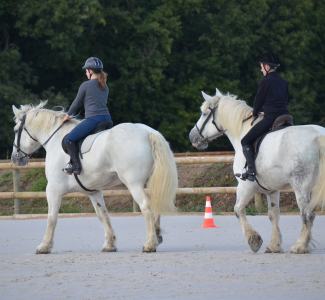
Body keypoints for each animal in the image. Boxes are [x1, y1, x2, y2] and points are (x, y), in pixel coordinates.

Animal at [11, 102, 177, 254]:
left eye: (15, 130)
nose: (15, 158)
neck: (55, 139)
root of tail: (147, 132)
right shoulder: (93, 191)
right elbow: (102, 215)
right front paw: (109, 244)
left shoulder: (53, 189)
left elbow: (52, 217)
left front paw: (44, 246)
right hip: (149, 183)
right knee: (155, 204)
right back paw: (157, 236)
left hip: (134, 184)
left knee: (146, 206)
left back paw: (150, 244)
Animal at [189, 88, 324, 253]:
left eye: (203, 113)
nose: (192, 137)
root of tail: (318, 136)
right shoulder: (272, 189)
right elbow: (273, 215)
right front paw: (274, 245)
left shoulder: (245, 185)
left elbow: (238, 209)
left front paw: (254, 240)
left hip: (301, 187)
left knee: (307, 214)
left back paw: (300, 246)